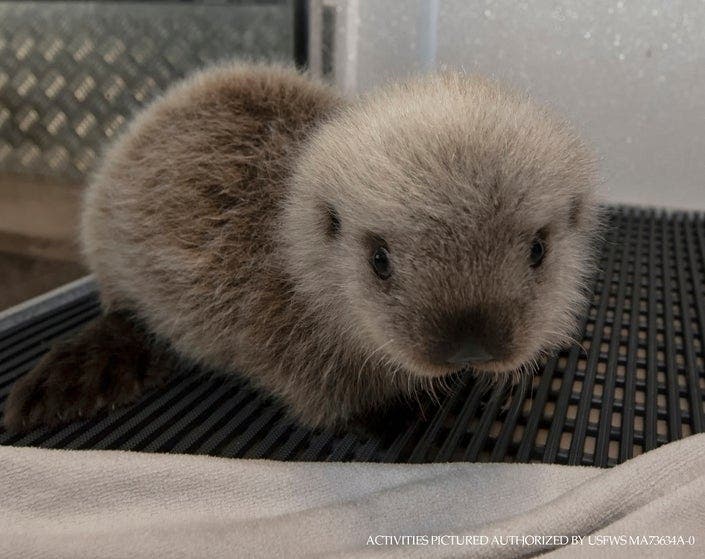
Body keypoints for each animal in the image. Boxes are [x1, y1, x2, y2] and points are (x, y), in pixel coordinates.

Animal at [3, 63, 600, 433]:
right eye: (379, 261)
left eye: (538, 250)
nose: (469, 347)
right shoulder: (282, 335)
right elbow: (328, 396)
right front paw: (401, 415)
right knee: (122, 311)